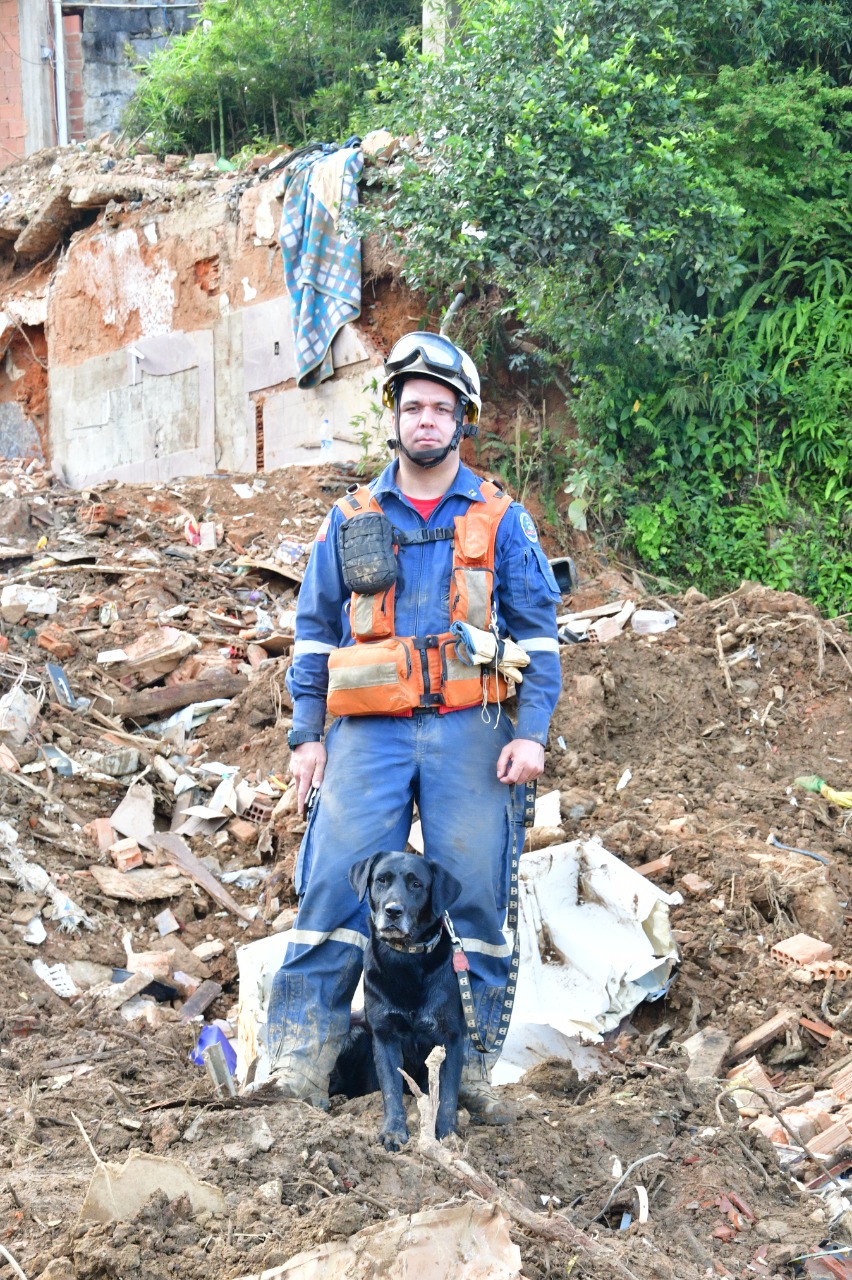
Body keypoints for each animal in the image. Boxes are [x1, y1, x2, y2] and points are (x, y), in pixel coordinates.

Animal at [332, 849, 465, 1152]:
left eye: (417, 884)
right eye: (381, 880)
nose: (393, 911)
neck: (407, 958)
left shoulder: (450, 1037)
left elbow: (447, 1095)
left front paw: (447, 1136)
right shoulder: (385, 1035)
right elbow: (392, 1089)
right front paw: (393, 1133)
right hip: (356, 1031)